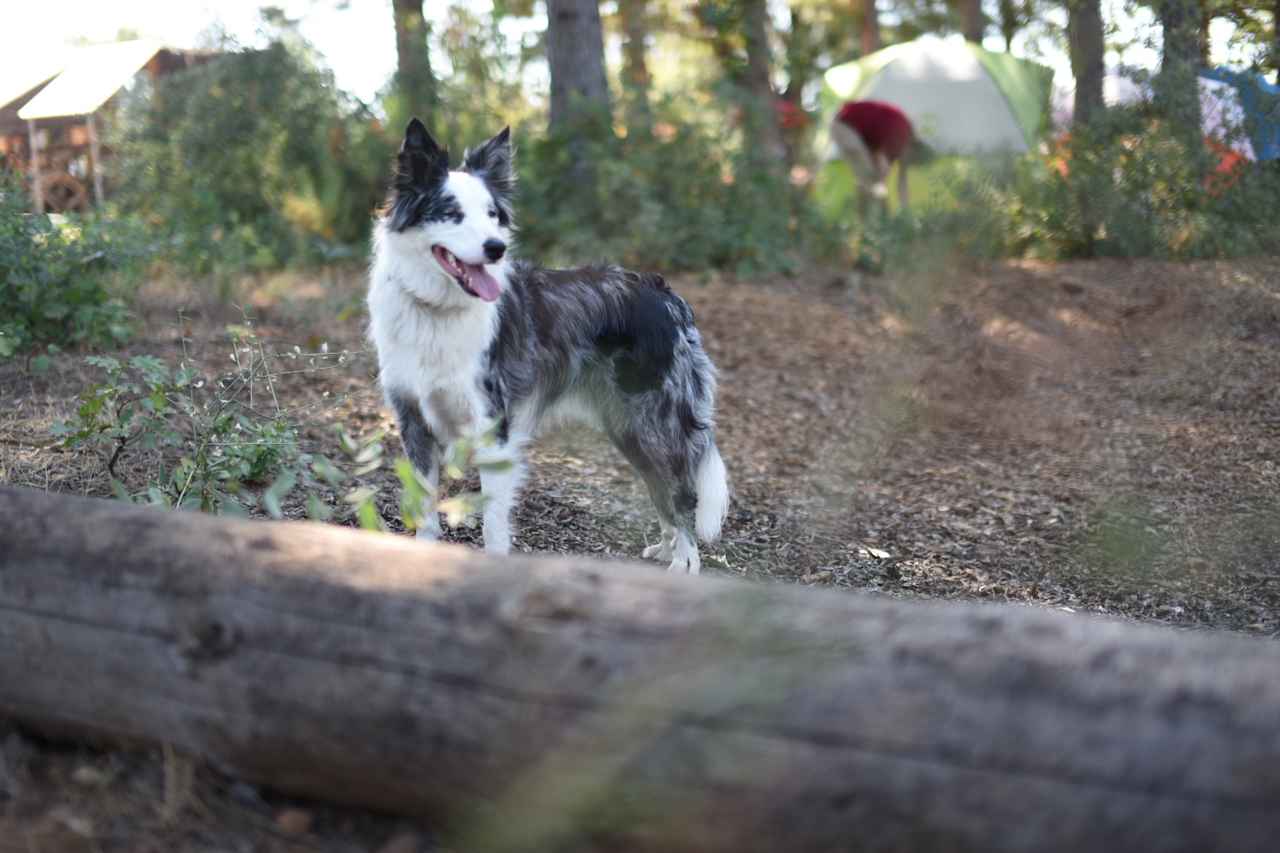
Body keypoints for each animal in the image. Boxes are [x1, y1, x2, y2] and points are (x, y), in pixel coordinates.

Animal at [371, 119, 732, 571]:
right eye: (451, 213)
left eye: (492, 215)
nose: (496, 248)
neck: (438, 309)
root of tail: (666, 293)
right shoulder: (413, 420)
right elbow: (424, 508)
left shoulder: (493, 427)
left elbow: (493, 523)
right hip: (628, 428)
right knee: (661, 489)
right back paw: (667, 547)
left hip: (657, 422)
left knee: (682, 494)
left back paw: (685, 562)